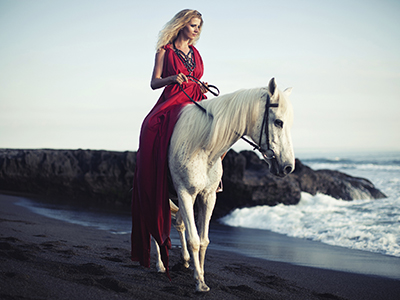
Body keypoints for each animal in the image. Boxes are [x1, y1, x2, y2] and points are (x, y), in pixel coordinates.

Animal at [153, 77, 294, 290]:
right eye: (278, 122)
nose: (288, 167)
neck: (202, 147)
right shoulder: (185, 193)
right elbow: (194, 240)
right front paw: (199, 282)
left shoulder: (208, 196)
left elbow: (203, 240)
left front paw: (200, 276)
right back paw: (160, 265)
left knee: (179, 224)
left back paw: (184, 260)